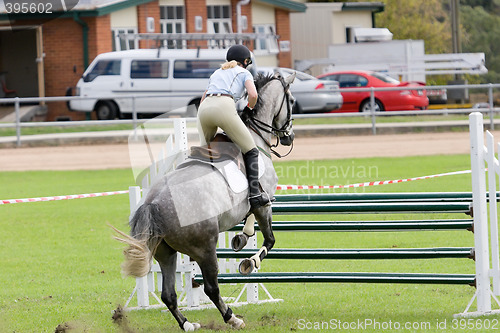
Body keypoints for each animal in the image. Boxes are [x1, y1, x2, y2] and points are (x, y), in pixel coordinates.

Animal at [115, 72, 294, 330]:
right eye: (292, 100)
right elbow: (268, 238)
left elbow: (251, 222)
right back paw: (232, 318)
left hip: (165, 253)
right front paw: (250, 260)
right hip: (205, 248)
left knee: (168, 294)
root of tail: (153, 204)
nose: (290, 137)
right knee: (211, 288)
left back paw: (188, 324)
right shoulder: (265, 200)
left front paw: (241, 237)